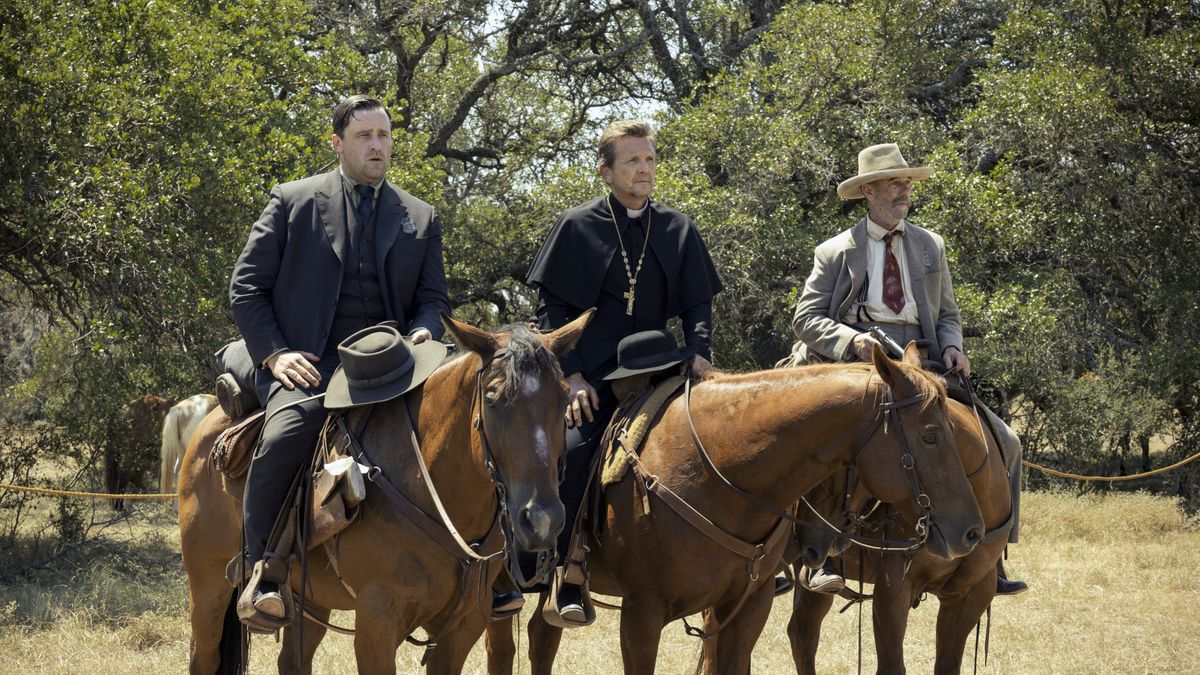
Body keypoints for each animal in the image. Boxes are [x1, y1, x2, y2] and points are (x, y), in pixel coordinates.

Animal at [178, 312, 590, 667]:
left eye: (564, 397)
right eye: (493, 397)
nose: (542, 520)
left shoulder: (463, 627)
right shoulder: (376, 623)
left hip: (308, 598)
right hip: (208, 588)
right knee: (204, 655)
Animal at [487, 345, 984, 672]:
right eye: (930, 435)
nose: (971, 531)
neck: (717, 470)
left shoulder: (747, 607)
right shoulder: (642, 613)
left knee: (540, 637)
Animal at [787, 393, 1012, 672]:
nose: (806, 535)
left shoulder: (972, 593)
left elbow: (948, 664)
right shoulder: (894, 589)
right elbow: (891, 665)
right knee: (803, 633)